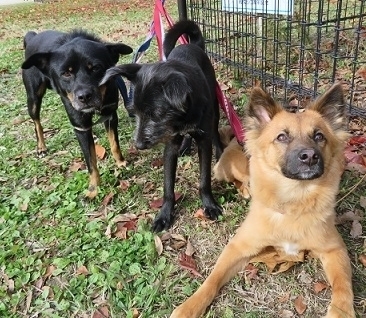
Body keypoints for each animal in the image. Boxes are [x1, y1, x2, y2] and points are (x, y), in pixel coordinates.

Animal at [21, 29, 133, 199]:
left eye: (96, 68)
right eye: (66, 73)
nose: (84, 96)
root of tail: (32, 36)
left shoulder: (110, 115)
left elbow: (114, 144)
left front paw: (121, 163)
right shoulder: (80, 126)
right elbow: (91, 162)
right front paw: (93, 189)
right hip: (33, 98)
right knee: (36, 122)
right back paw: (41, 147)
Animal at [101, 20, 224, 231]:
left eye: (156, 114)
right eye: (134, 112)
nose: (139, 145)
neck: (182, 117)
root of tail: (194, 45)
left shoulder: (202, 140)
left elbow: (204, 180)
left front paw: (209, 204)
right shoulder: (170, 144)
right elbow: (168, 186)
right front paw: (164, 214)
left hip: (214, 108)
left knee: (214, 131)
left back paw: (219, 150)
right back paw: (185, 146)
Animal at [171, 84, 354, 318]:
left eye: (319, 136)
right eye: (282, 137)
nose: (310, 157)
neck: (293, 199)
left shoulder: (335, 249)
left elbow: (343, 285)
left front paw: (342, 311)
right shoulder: (238, 246)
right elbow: (212, 279)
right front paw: (190, 306)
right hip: (230, 169)